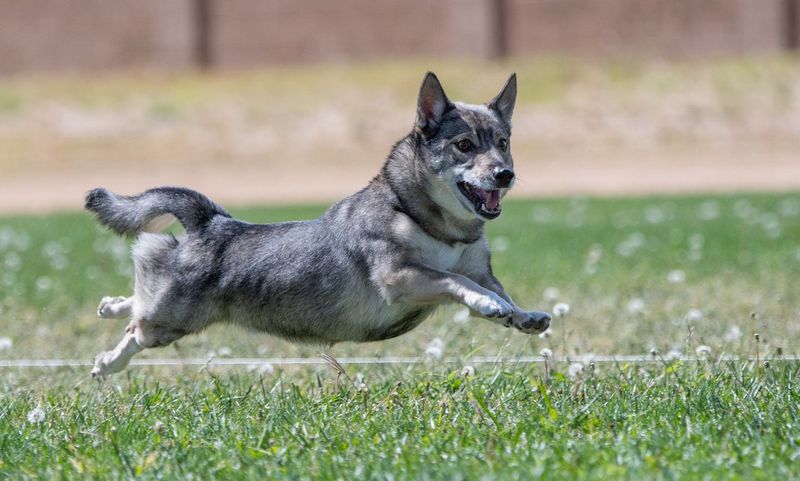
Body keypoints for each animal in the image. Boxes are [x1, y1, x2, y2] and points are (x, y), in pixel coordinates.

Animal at [86, 73, 552, 376]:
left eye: (504, 143)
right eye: (464, 145)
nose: (505, 174)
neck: (432, 222)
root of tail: (211, 222)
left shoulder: (479, 270)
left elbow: (498, 291)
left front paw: (521, 315)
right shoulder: (400, 276)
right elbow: (460, 283)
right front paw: (489, 305)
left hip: (170, 312)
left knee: (137, 301)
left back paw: (109, 305)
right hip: (171, 320)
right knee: (136, 327)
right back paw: (107, 363)